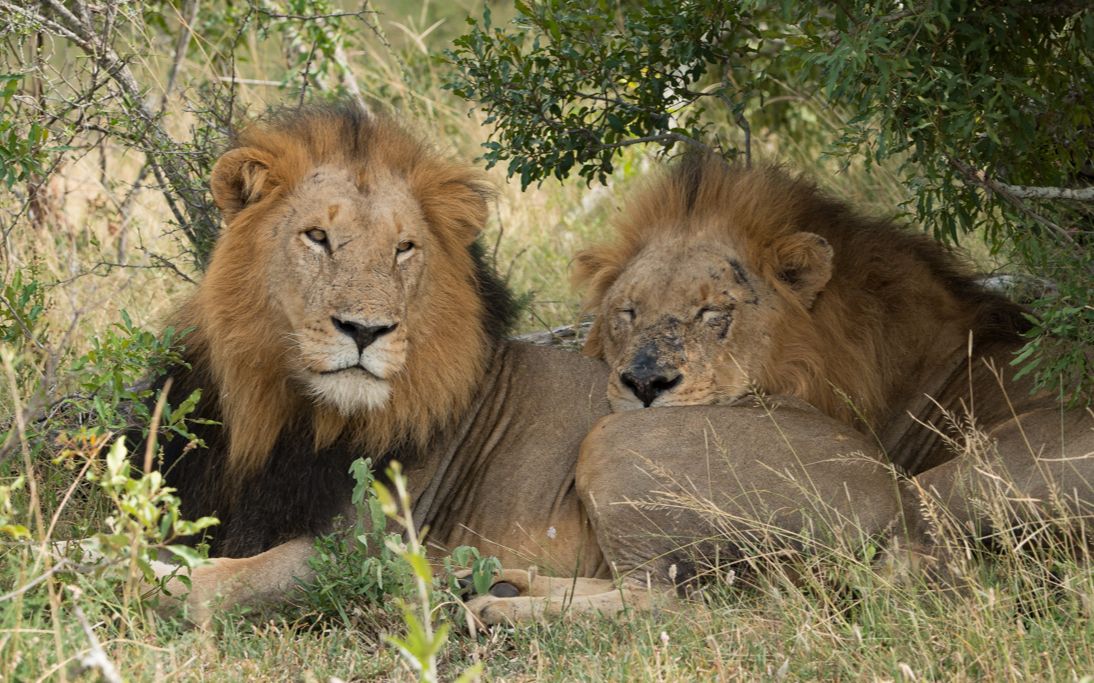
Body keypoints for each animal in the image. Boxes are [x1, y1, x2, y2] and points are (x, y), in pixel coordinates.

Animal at [121, 103, 905, 626]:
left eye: (405, 248)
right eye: (317, 237)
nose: (365, 330)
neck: (283, 406)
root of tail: (903, 499)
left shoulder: (364, 547)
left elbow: (211, 584)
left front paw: (121, 579)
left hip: (618, 442)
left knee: (674, 602)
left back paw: (494, 611)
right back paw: (501, 585)